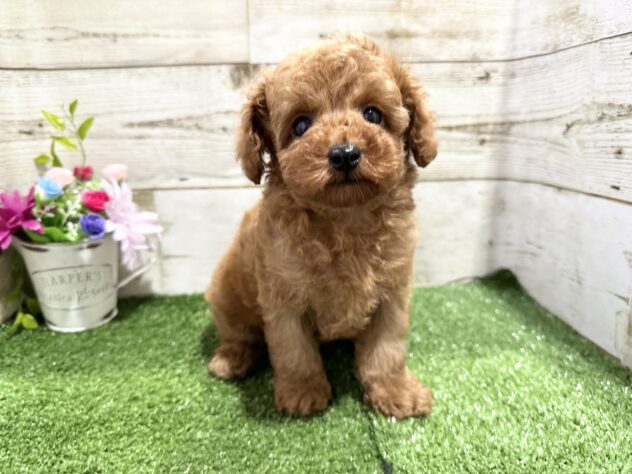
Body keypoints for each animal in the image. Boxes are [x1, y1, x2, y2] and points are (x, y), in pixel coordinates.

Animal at [205, 34, 437, 418]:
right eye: (300, 125)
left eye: (372, 114)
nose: (344, 153)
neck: (344, 220)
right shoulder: (284, 297)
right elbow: (294, 351)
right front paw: (303, 393)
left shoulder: (392, 292)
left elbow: (387, 350)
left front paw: (395, 391)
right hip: (226, 295)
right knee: (239, 334)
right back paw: (231, 359)